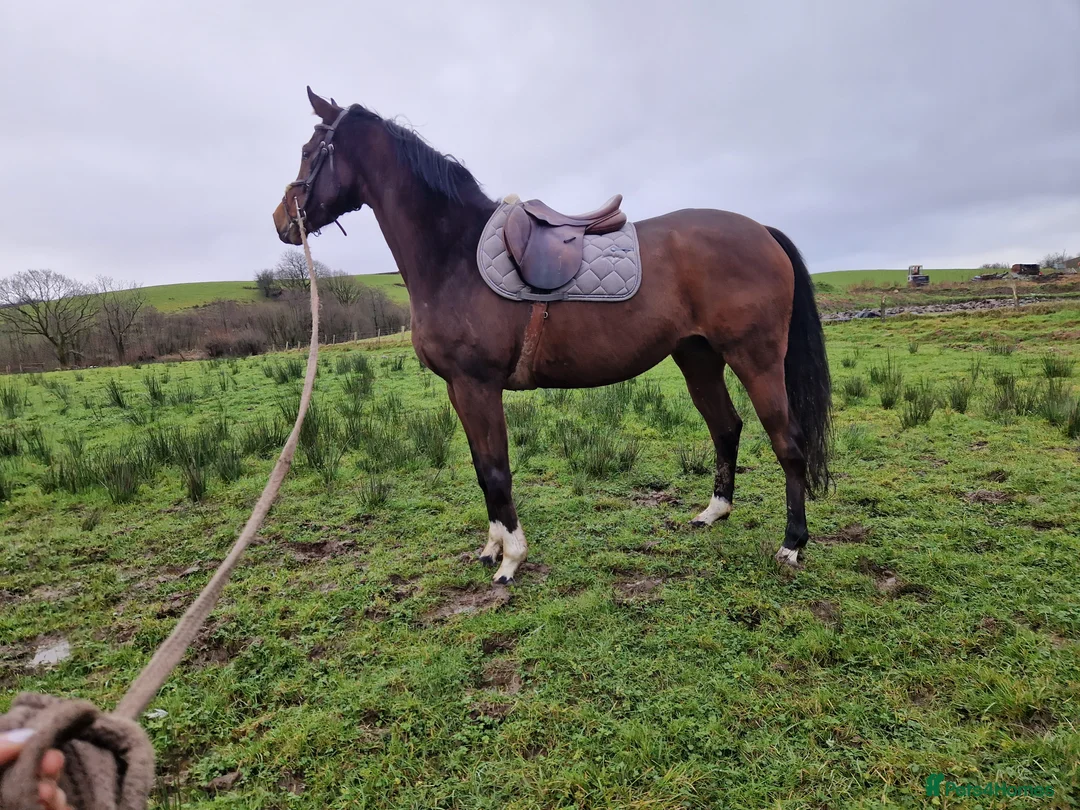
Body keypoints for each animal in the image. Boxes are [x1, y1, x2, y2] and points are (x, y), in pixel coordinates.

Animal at [272, 87, 832, 584]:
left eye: (308, 151)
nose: (282, 220)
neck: (454, 254)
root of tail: (760, 231)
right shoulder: (459, 389)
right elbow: (482, 468)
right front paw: (492, 546)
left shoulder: (477, 386)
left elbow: (497, 469)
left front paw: (511, 560)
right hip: (698, 358)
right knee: (726, 427)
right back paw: (714, 512)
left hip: (756, 359)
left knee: (789, 442)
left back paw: (792, 544)